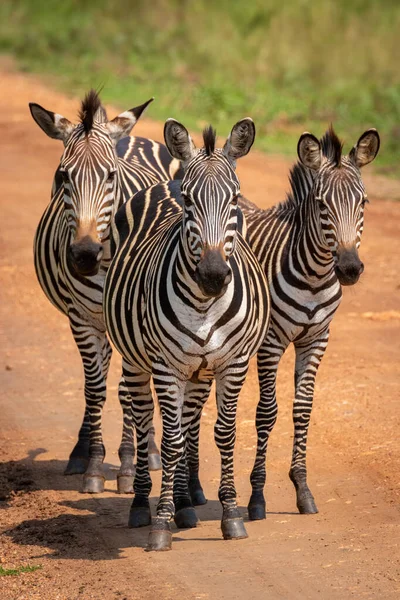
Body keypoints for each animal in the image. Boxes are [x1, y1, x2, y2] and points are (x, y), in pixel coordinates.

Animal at [29, 89, 181, 492]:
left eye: (111, 175)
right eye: (62, 176)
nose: (84, 255)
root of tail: (130, 136)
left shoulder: (132, 319)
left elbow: (128, 392)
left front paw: (129, 466)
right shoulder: (81, 317)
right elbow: (95, 388)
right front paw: (95, 465)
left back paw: (150, 451)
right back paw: (81, 452)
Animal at [104, 119, 270, 552]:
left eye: (235, 199)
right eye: (190, 203)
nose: (213, 275)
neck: (204, 305)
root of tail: (168, 181)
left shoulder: (233, 364)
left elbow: (223, 435)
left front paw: (230, 515)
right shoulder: (166, 366)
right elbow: (171, 441)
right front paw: (161, 522)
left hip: (198, 373)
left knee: (189, 423)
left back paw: (184, 504)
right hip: (137, 362)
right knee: (145, 420)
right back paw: (143, 504)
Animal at [236, 125, 380, 516]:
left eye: (363, 203)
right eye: (321, 205)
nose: (349, 269)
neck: (314, 277)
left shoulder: (316, 339)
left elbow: (302, 409)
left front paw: (302, 488)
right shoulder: (271, 342)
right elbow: (266, 412)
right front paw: (256, 497)